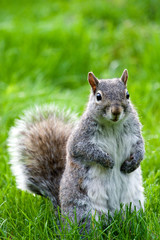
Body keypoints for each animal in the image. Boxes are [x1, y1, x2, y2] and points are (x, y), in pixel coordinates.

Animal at [7, 69, 145, 231]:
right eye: (98, 96)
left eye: (127, 95)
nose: (116, 110)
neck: (113, 124)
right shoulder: (80, 139)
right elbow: (85, 150)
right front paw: (107, 160)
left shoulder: (135, 133)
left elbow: (140, 148)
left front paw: (133, 163)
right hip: (83, 210)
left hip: (133, 206)